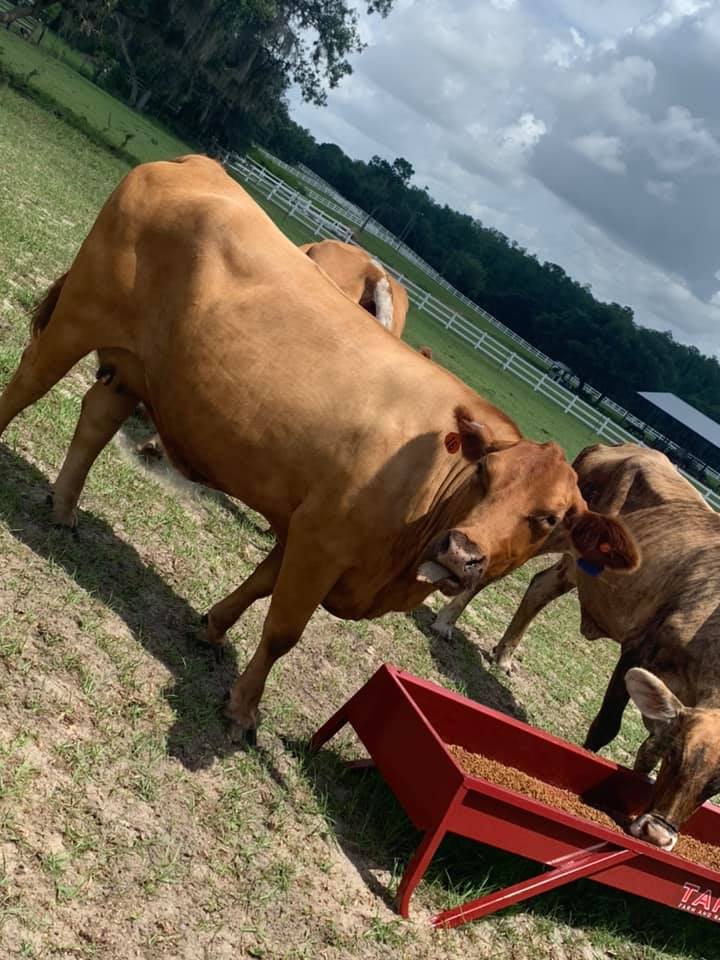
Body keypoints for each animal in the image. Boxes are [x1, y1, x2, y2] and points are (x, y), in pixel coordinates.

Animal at [451, 442, 718, 850]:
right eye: (677, 757)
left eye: (716, 785)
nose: (658, 835)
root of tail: (620, 445)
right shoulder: (638, 650)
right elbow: (607, 726)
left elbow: (646, 752)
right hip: (542, 534)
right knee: (486, 571)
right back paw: (445, 622)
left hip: (573, 566)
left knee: (540, 587)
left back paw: (505, 654)